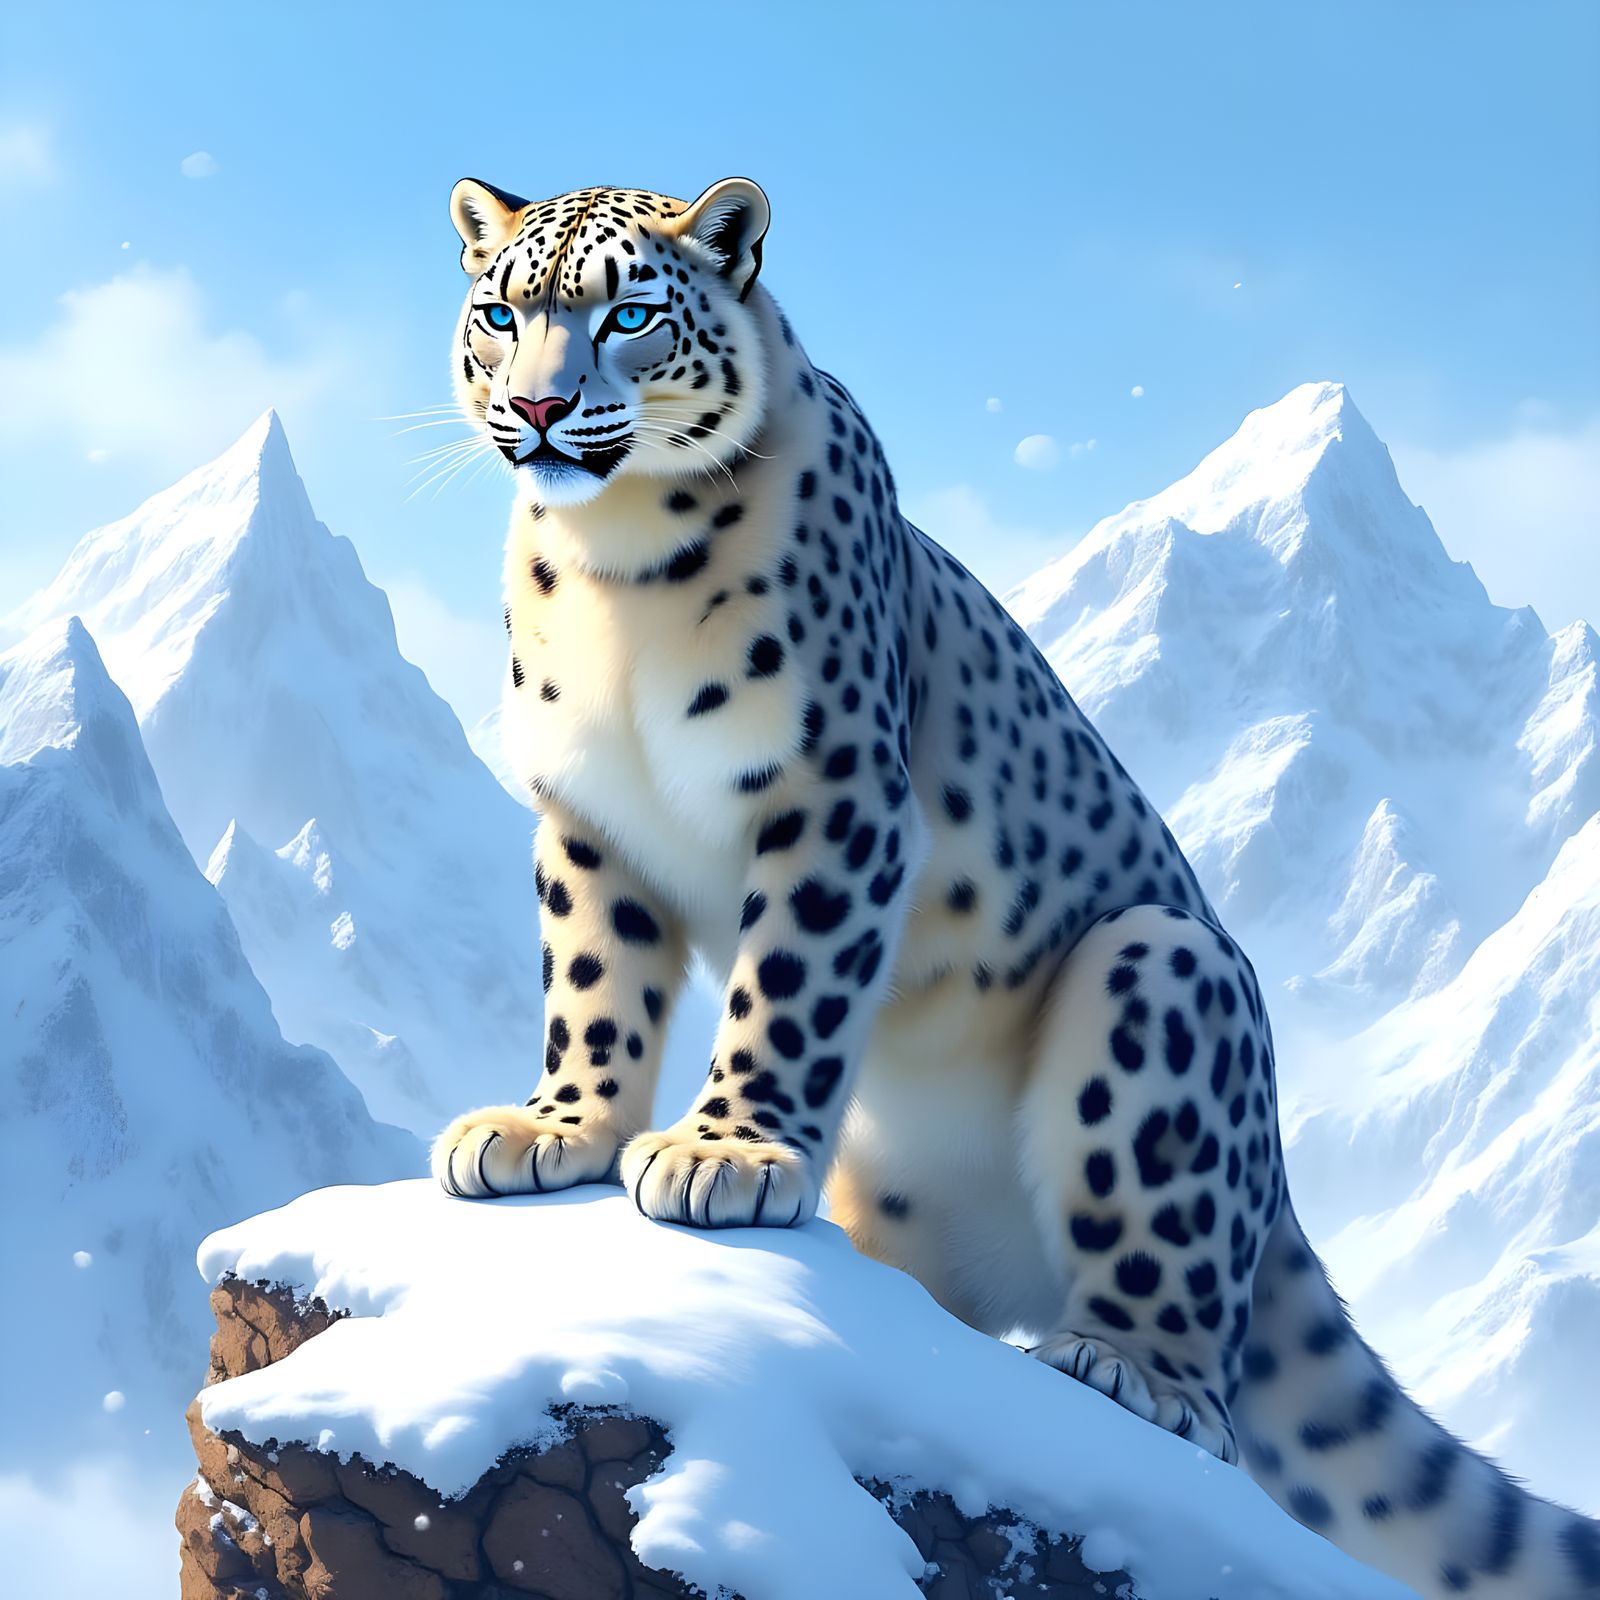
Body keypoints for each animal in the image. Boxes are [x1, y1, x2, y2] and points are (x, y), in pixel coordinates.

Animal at [429, 174, 1600, 1600]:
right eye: (501, 313)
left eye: (631, 314)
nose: (538, 407)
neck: (615, 571)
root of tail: (1275, 1196)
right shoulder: (591, 819)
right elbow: (595, 984)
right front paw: (556, 1129)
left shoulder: (833, 790)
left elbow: (787, 990)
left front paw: (725, 1154)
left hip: (1166, 978)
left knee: (1207, 1388)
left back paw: (1125, 1364)